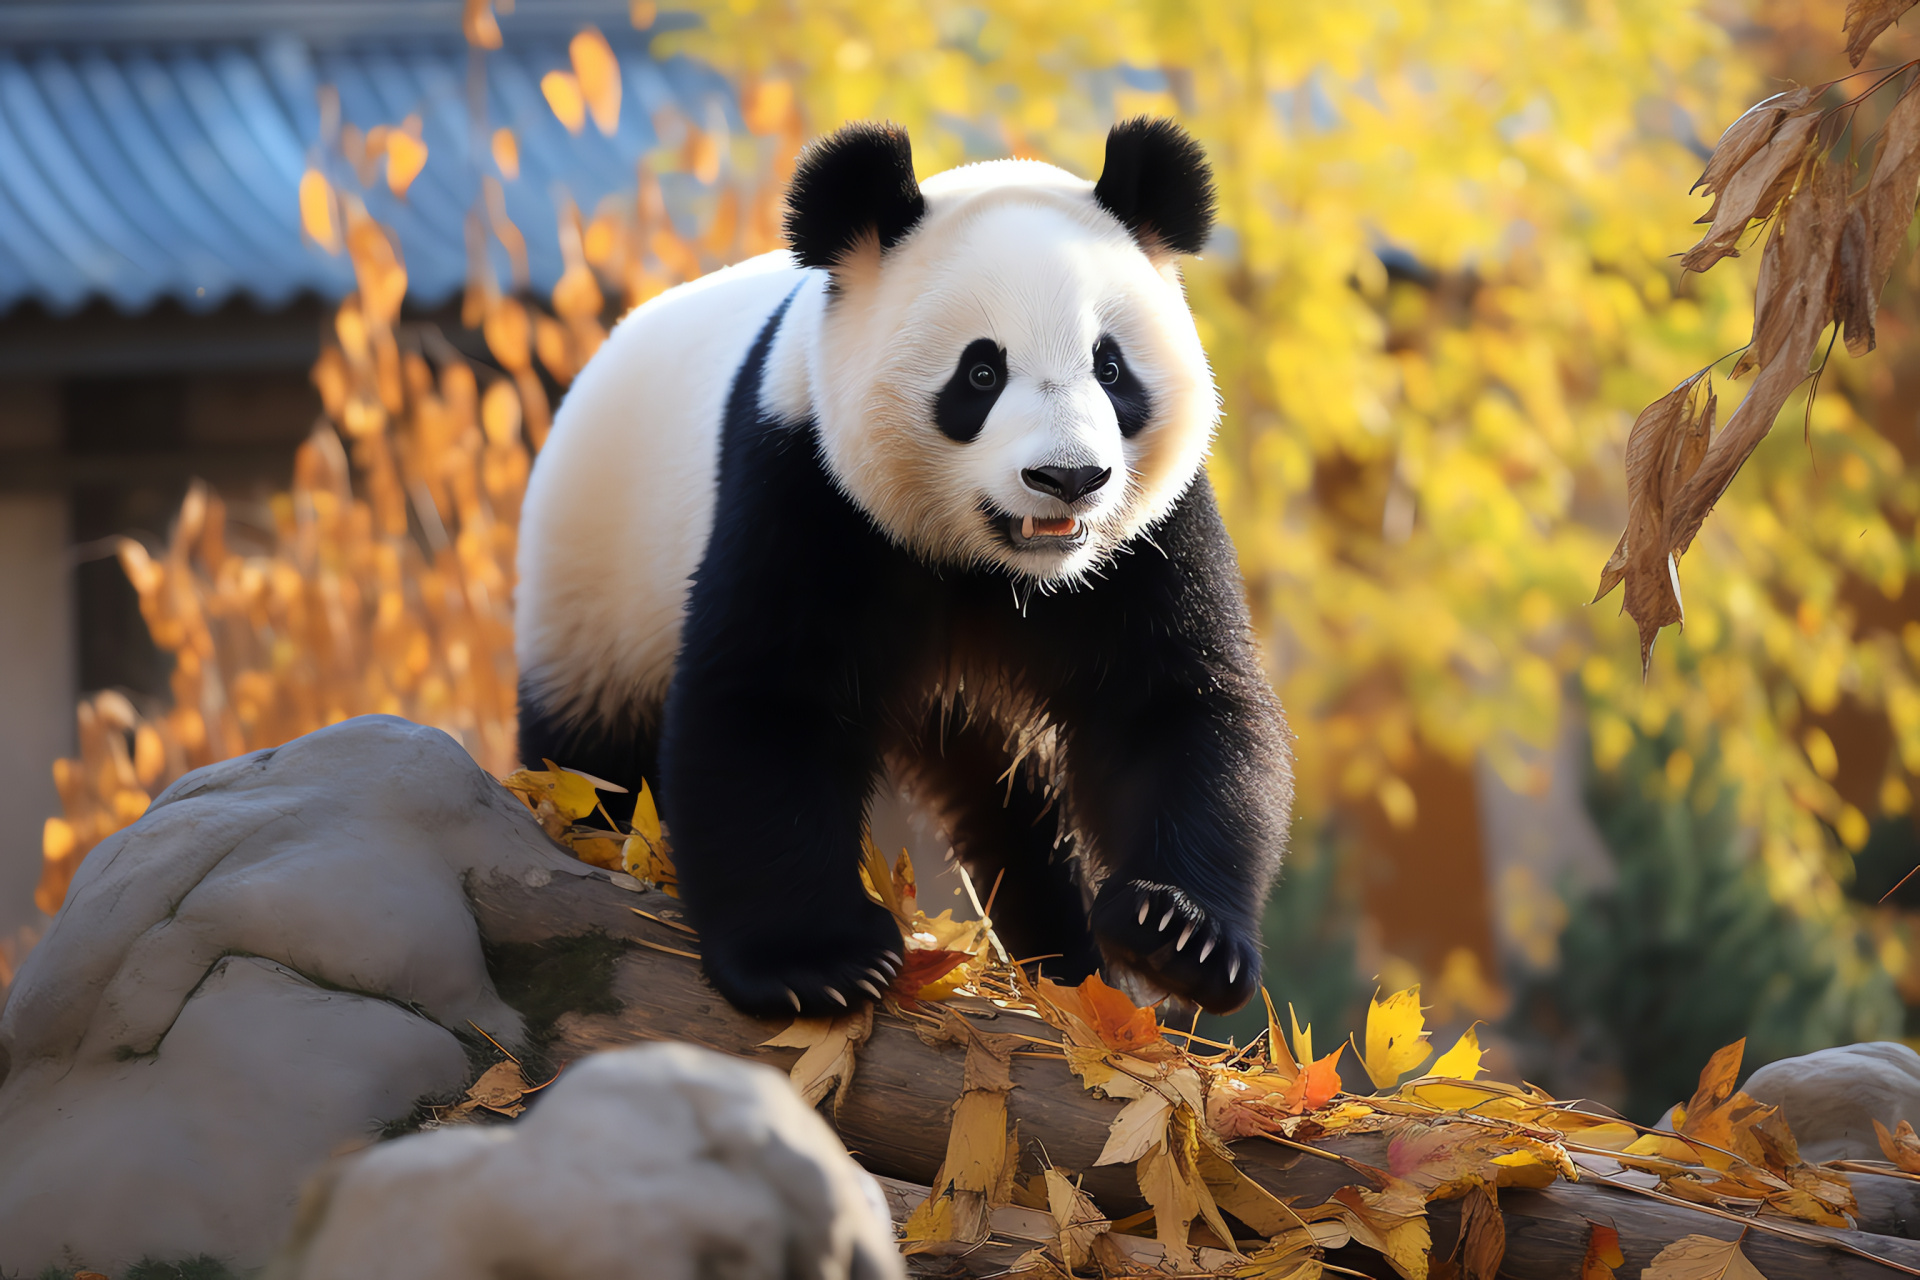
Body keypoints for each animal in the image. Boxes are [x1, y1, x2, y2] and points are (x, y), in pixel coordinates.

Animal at [514, 119, 1290, 1020]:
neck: (998, 568)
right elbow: (768, 700)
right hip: (595, 585)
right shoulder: (807, 482)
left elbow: (1172, 706)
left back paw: (1062, 966)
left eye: (1111, 368)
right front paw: (816, 965)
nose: (1068, 478)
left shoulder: (1145, 541)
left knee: (1014, 803)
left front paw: (1176, 936)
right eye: (980, 373)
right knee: (591, 758)